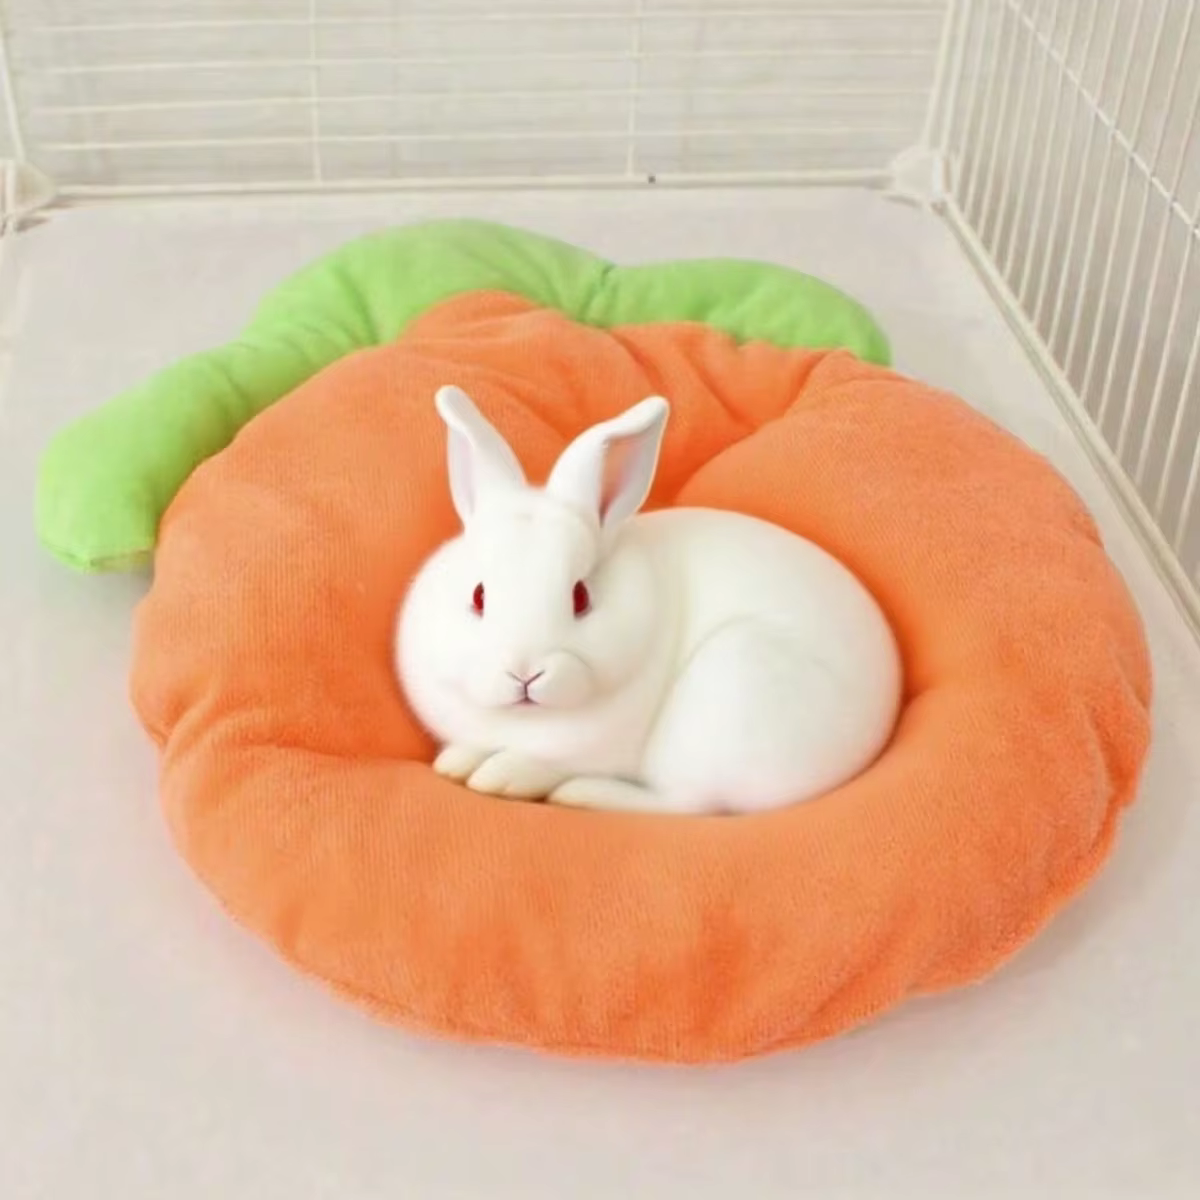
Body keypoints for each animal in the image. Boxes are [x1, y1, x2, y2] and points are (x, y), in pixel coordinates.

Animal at [396, 385, 903, 815]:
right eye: (478, 596)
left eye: (581, 597)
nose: (525, 673)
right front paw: (455, 764)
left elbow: (535, 763)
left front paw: (500, 777)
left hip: (729, 693)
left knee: (689, 803)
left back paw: (582, 794)